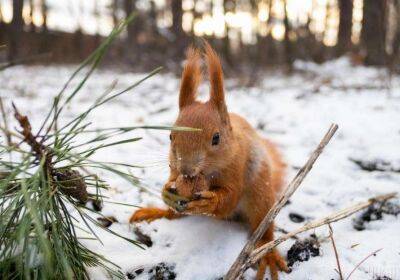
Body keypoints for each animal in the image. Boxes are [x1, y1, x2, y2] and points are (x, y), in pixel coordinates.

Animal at [130, 42, 290, 280]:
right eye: (170, 136)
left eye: (216, 138)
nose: (186, 169)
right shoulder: (174, 167)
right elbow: (171, 179)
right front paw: (167, 189)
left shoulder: (237, 166)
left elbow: (230, 197)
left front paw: (210, 202)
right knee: (174, 214)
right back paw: (157, 212)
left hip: (260, 195)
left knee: (263, 226)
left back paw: (267, 252)